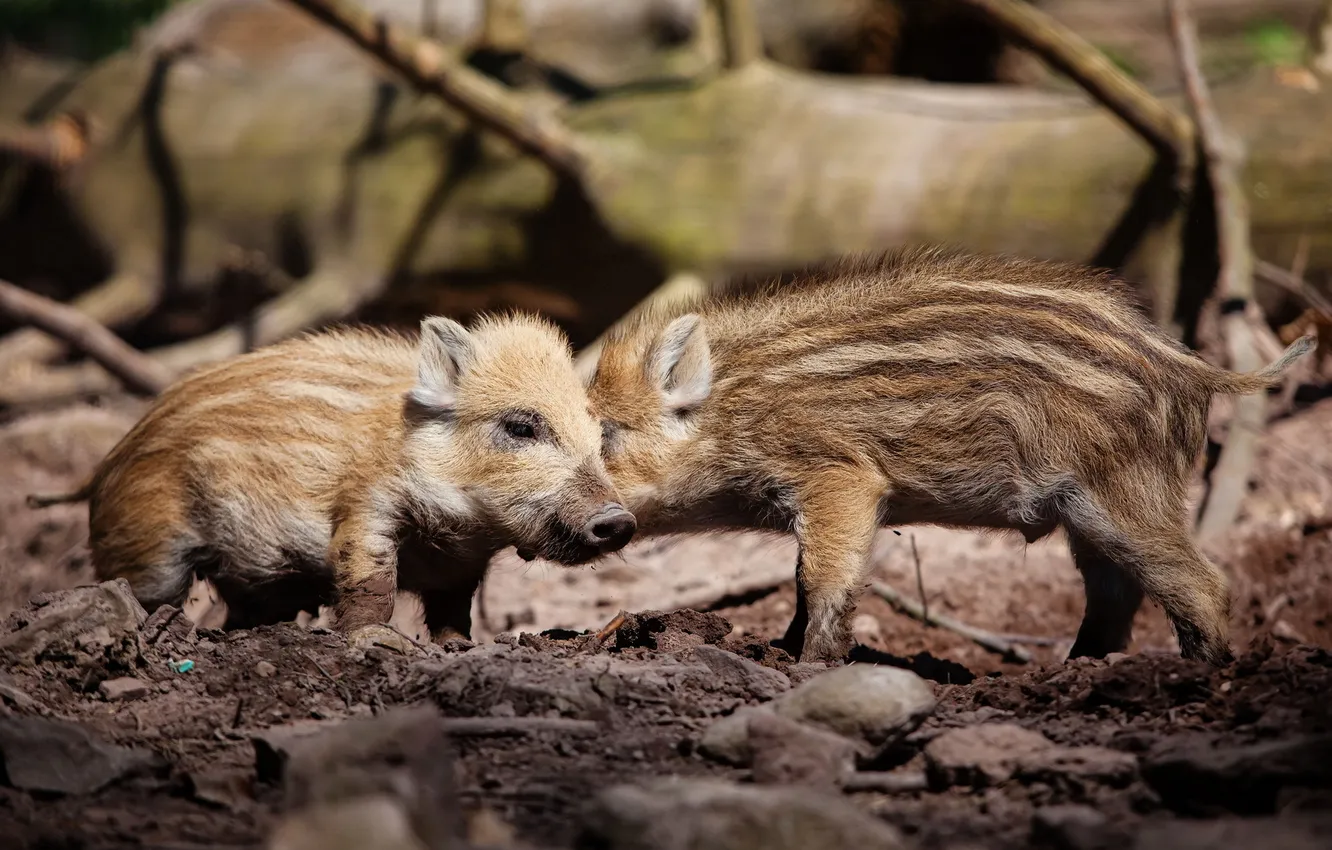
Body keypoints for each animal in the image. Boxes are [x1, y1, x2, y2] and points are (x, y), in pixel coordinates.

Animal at [38, 312, 636, 642]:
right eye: (520, 426)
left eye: (596, 431)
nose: (620, 520)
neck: (460, 525)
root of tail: (107, 464)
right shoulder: (366, 505)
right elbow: (370, 580)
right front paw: (380, 642)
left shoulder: (462, 565)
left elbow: (452, 608)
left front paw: (458, 648)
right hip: (148, 544)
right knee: (148, 591)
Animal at [585, 248, 1316, 666]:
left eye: (607, 434)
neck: (732, 411)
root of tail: (1190, 366)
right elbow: (800, 577)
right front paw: (784, 649)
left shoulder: (840, 477)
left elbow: (823, 578)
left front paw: (803, 664)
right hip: (1087, 511)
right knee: (1115, 594)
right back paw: (1074, 671)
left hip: (1122, 491)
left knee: (1202, 584)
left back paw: (1199, 677)